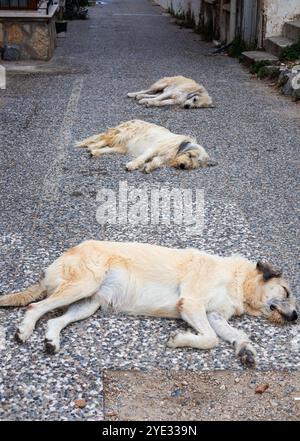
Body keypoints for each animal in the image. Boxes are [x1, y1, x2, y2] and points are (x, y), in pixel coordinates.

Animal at [75, 119, 211, 173]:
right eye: (190, 155)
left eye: (195, 164)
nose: (183, 166)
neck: (176, 148)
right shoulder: (153, 149)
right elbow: (142, 158)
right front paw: (132, 165)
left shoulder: (163, 158)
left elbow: (156, 162)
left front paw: (149, 167)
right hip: (124, 134)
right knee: (103, 140)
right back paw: (91, 147)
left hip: (123, 147)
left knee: (109, 147)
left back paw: (95, 151)